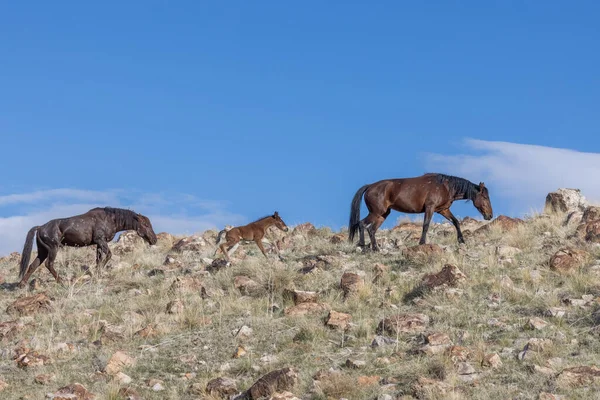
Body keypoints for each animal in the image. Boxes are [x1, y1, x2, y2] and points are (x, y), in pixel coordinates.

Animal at [19, 206, 157, 288]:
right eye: (145, 224)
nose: (154, 240)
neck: (109, 219)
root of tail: (40, 227)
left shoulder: (98, 244)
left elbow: (98, 259)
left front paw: (97, 274)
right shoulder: (100, 241)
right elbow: (108, 255)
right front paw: (98, 273)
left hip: (43, 251)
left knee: (33, 265)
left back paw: (22, 284)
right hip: (53, 248)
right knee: (49, 264)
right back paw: (61, 281)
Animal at [346, 173, 492, 250]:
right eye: (485, 197)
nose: (489, 215)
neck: (445, 187)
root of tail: (370, 186)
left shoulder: (443, 210)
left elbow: (456, 222)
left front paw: (461, 240)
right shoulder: (430, 208)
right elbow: (426, 225)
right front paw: (422, 243)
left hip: (382, 215)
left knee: (371, 229)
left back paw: (375, 248)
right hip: (376, 213)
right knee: (362, 224)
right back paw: (363, 245)